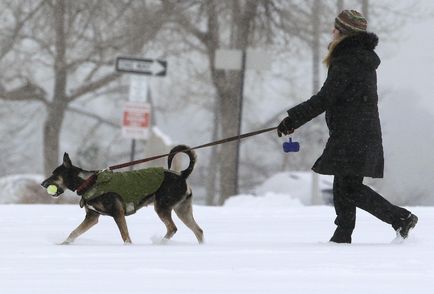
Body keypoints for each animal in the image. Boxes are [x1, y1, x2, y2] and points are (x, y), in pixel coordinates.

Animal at [40, 146, 203, 245]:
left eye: (54, 175)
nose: (42, 183)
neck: (88, 182)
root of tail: (182, 175)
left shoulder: (117, 213)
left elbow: (125, 236)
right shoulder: (92, 217)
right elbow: (74, 232)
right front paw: (62, 244)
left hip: (162, 207)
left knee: (173, 228)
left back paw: (160, 243)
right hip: (183, 210)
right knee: (198, 230)